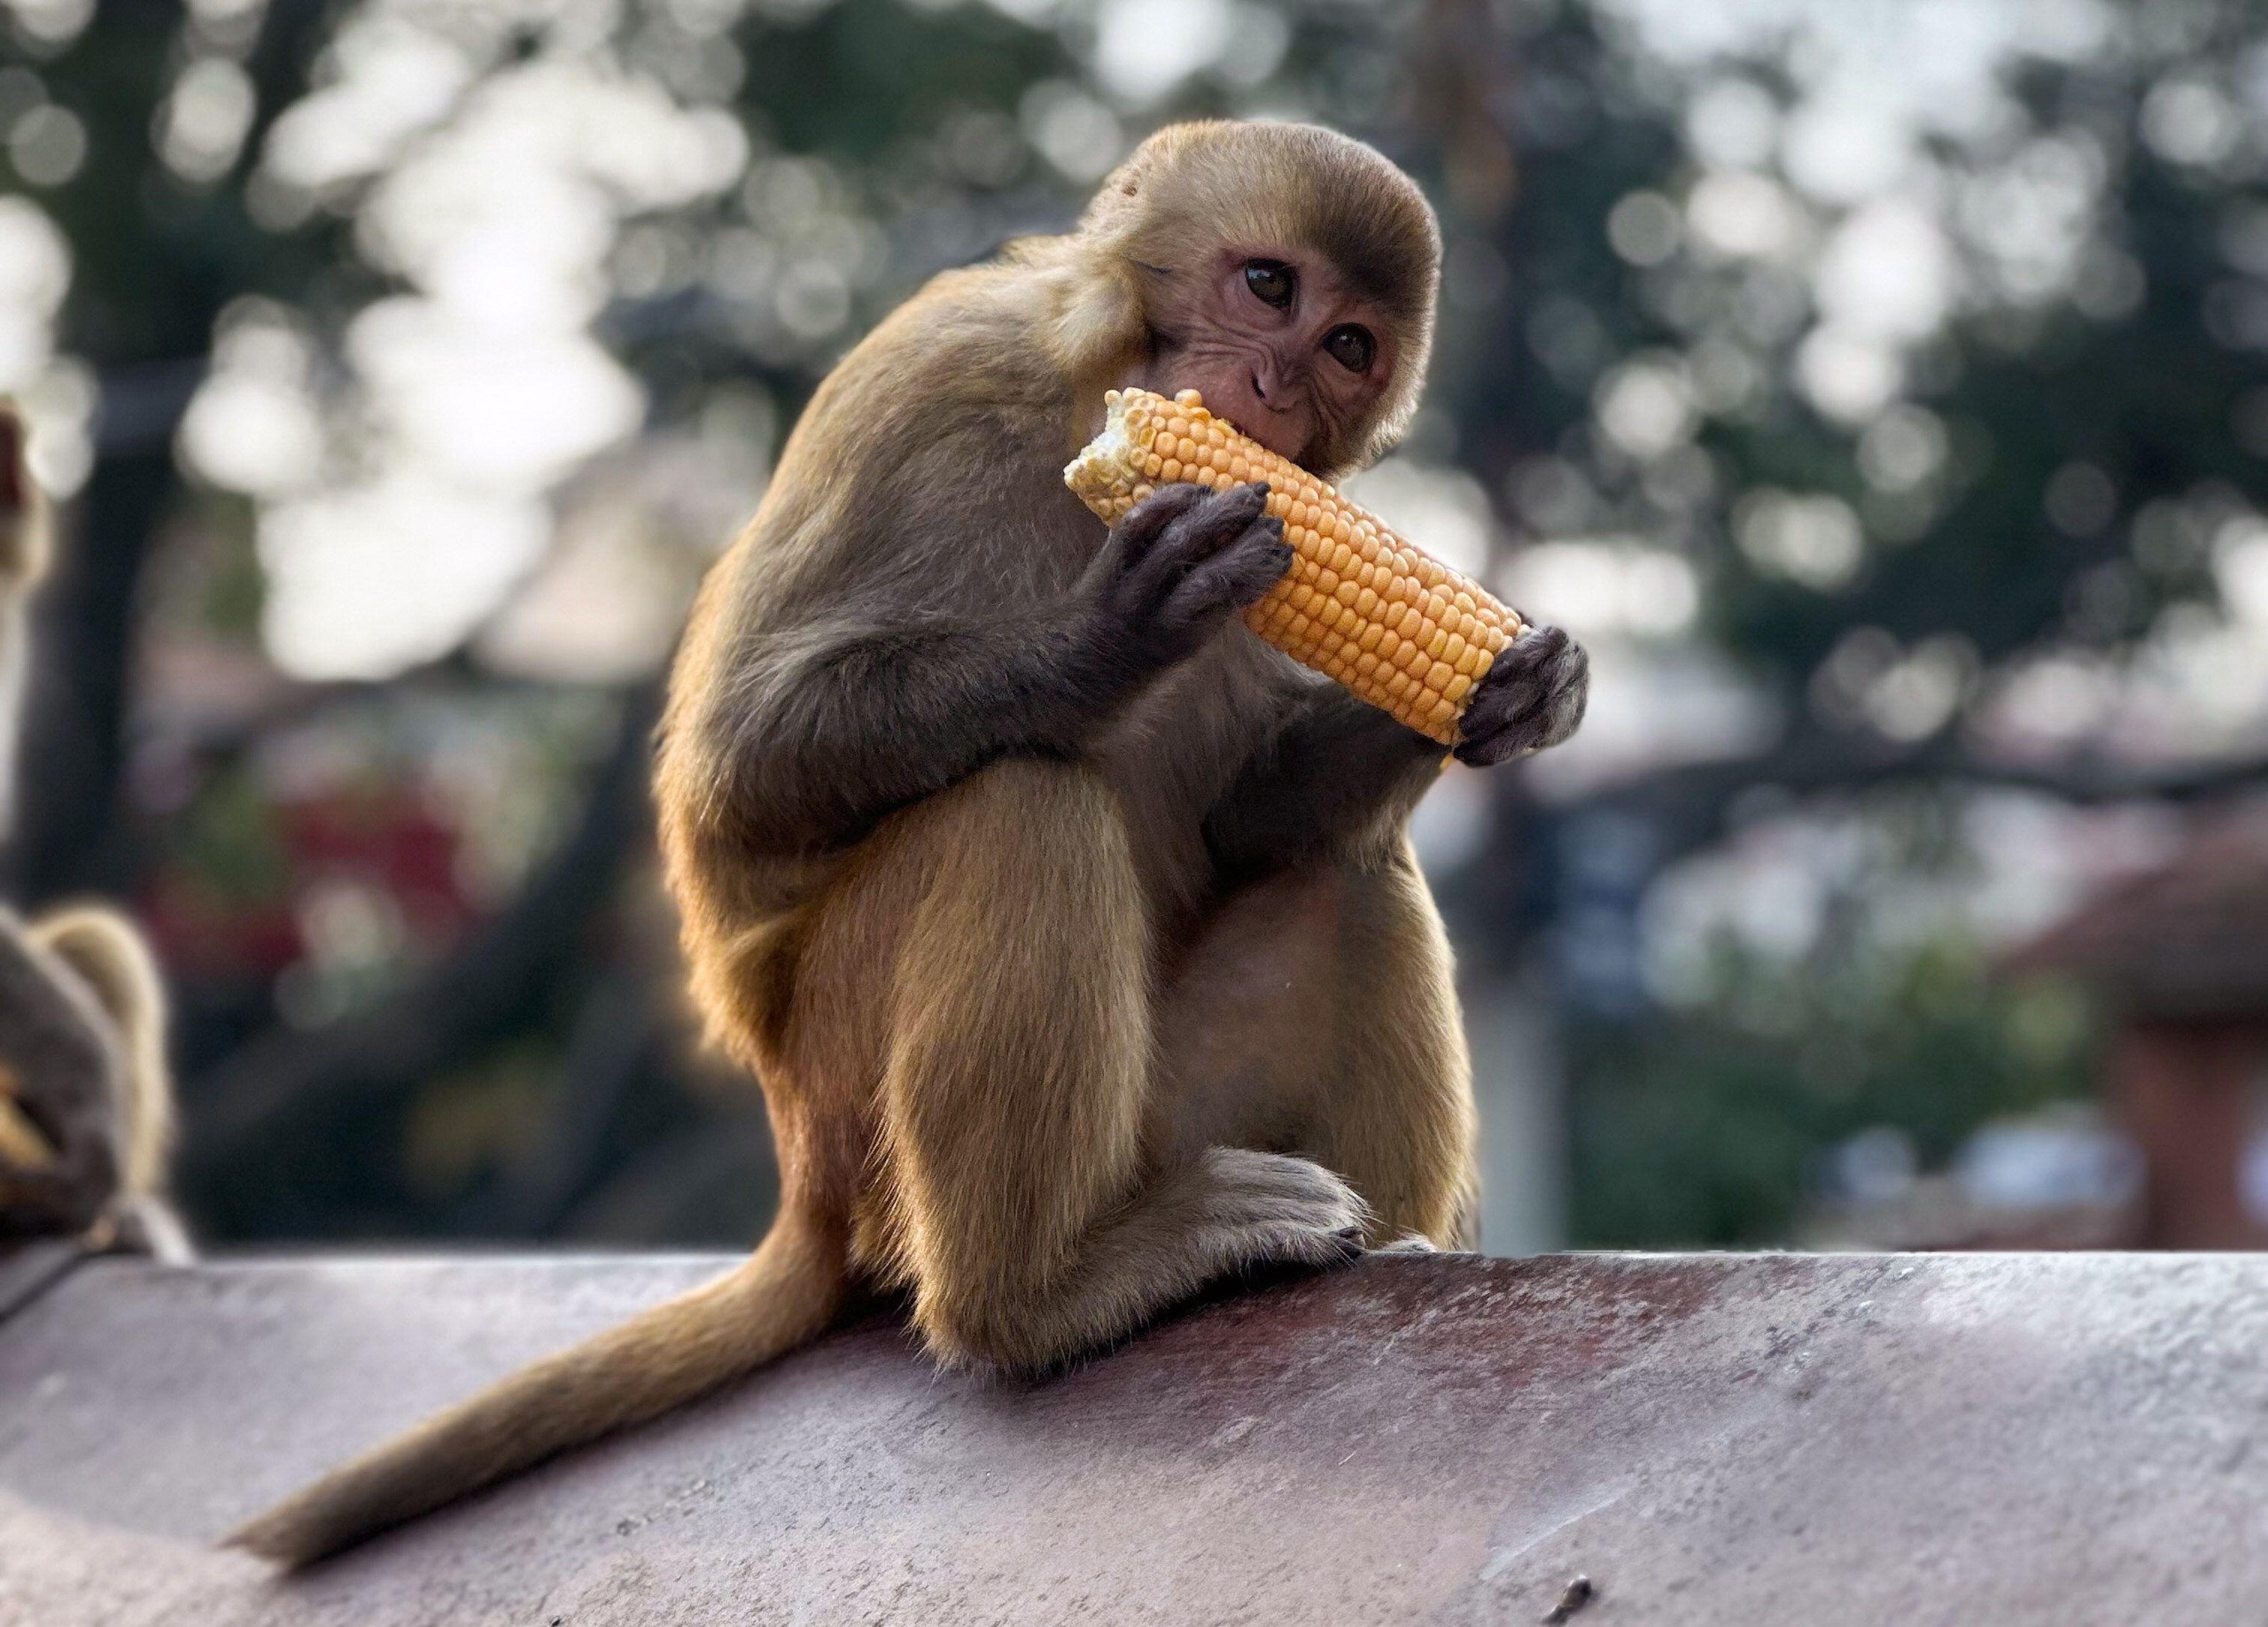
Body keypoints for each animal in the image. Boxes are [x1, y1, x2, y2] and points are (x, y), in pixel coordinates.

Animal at [225, 120, 1578, 1577]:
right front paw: (1105, 641)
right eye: (1267, 286)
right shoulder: (934, 378)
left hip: (1166, 1112)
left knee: (1340, 873)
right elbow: (743, 763)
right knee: (1018, 800)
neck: (1092, 401)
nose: (1273, 386)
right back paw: (1038, 1298)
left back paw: (1371, 1248)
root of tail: (803, 1163)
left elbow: (1251, 817)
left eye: (1348, 347)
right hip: (847, 1079)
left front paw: (1507, 684)